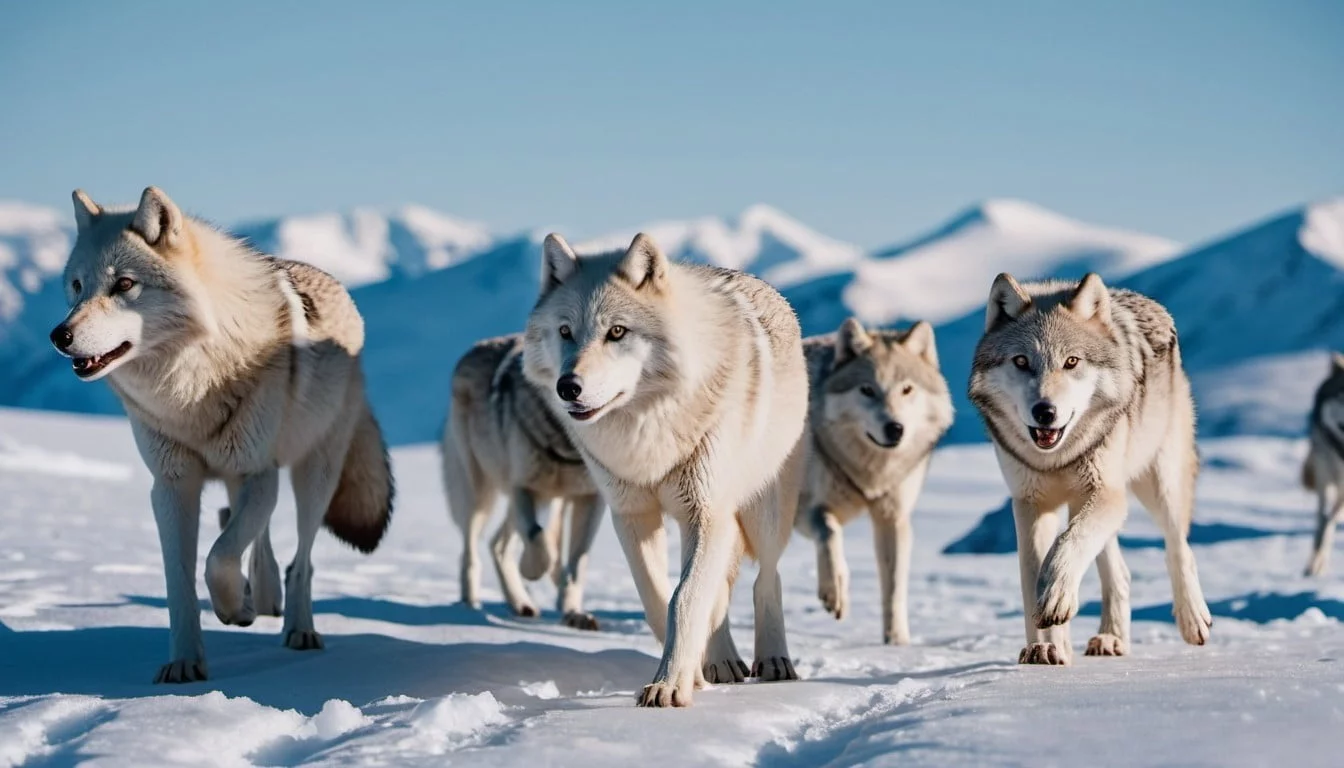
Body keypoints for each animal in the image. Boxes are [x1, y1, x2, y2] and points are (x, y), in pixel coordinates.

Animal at [50, 187, 393, 683]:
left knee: (301, 560)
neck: (191, 388)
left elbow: (217, 559)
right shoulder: (172, 486)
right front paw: (184, 663)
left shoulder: (257, 473)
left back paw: (297, 627)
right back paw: (264, 597)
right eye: (78, 286)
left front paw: (234, 610)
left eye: (125, 285)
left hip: (312, 475)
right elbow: (182, 580)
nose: (59, 335)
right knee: (255, 535)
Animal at [441, 333, 605, 627]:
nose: (571, 388)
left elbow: (577, 562)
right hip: (480, 497)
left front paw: (573, 613)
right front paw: (531, 571)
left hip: (545, 503)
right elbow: (540, 543)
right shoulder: (522, 487)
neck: (567, 449)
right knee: (472, 552)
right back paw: (471, 606)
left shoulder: (591, 498)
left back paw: (521, 604)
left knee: (497, 544)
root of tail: (473, 349)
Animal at [522, 232, 808, 707]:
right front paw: (689, 675)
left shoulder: (706, 514)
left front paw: (670, 685)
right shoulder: (632, 515)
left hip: (761, 513)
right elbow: (659, 599)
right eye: (565, 332)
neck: (648, 428)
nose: (568, 387)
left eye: (617, 331)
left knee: (767, 579)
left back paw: (773, 661)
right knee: (721, 593)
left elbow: (685, 599)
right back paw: (721, 662)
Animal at [793, 318, 953, 645]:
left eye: (907, 389)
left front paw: (896, 642)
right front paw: (835, 591)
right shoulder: (807, 510)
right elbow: (830, 533)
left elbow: (893, 587)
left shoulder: (893, 518)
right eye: (867, 390)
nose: (895, 428)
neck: (868, 473)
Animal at [968, 272, 1212, 665]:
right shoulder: (1030, 503)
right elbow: (1032, 576)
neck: (1056, 457)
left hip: (1158, 484)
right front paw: (1044, 646)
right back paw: (1109, 638)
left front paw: (1056, 596)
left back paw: (1193, 620)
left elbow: (1068, 545)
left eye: (1071, 361)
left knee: (1179, 546)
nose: (1045, 411)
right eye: (1021, 361)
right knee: (1120, 573)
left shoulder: (1106, 493)